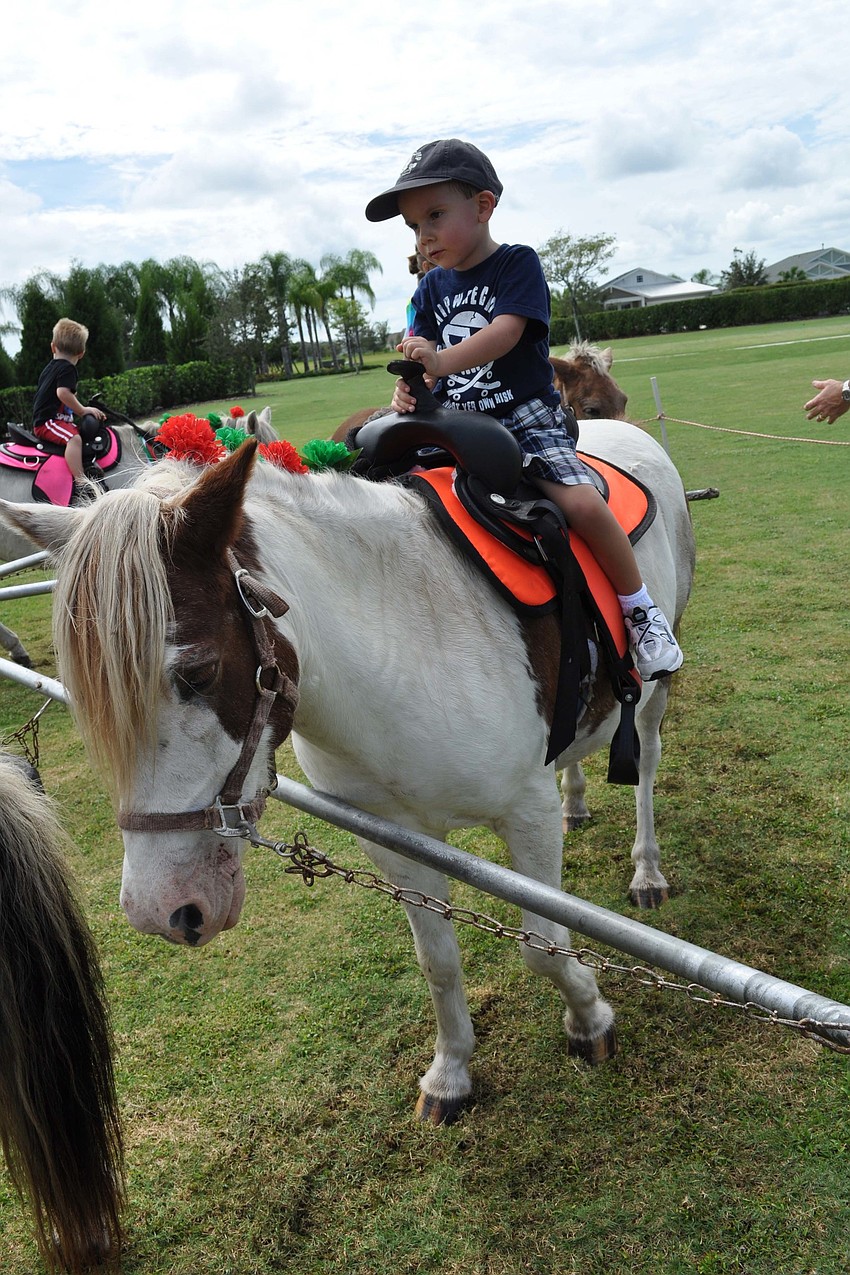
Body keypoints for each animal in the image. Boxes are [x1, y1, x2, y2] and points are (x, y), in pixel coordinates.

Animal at [0, 421, 693, 1124]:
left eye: (196, 673)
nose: (160, 911)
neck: (404, 648)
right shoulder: (394, 836)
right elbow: (437, 961)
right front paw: (451, 1072)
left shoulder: (526, 815)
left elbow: (541, 944)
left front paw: (590, 1018)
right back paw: (578, 803)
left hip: (653, 692)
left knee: (646, 762)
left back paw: (648, 871)